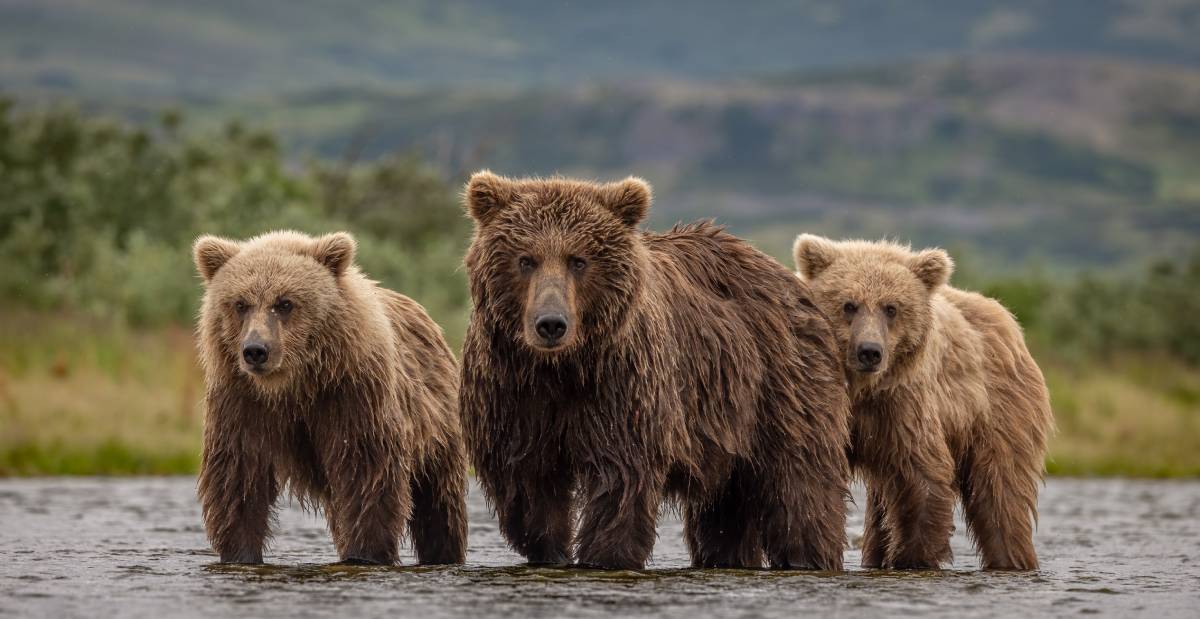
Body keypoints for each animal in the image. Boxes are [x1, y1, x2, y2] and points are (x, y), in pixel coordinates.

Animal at [192, 230, 467, 565]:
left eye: (285, 303)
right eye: (240, 303)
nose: (256, 350)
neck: (294, 385)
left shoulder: (351, 397)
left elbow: (366, 473)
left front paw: (366, 552)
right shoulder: (242, 402)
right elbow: (239, 475)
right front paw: (240, 552)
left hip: (437, 422)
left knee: (439, 502)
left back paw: (443, 552)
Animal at [459, 171, 852, 571]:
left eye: (578, 260)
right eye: (526, 259)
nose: (551, 324)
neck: (563, 367)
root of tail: (786, 277)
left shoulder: (622, 385)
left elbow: (620, 478)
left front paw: (605, 555)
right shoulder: (513, 393)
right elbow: (528, 485)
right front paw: (552, 551)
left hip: (780, 384)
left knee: (799, 482)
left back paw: (808, 556)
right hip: (727, 421)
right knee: (726, 508)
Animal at [792, 234, 1054, 570]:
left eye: (891, 308)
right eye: (849, 305)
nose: (869, 351)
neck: (863, 390)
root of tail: (1010, 324)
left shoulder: (903, 404)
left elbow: (922, 475)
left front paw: (913, 557)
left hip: (999, 410)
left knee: (1002, 490)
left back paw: (1012, 558)